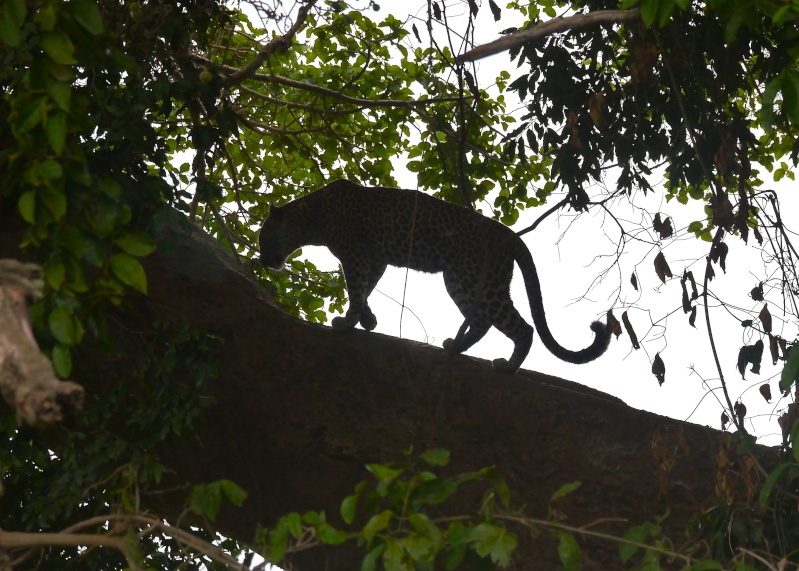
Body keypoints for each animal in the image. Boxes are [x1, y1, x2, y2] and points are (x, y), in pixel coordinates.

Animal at [260, 180, 608, 376]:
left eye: (263, 238)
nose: (263, 261)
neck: (311, 217)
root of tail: (509, 234)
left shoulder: (356, 255)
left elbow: (356, 289)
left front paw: (347, 323)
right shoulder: (375, 259)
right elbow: (365, 289)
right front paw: (368, 320)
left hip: (477, 279)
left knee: (521, 327)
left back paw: (507, 367)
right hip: (460, 279)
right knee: (481, 320)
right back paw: (456, 347)